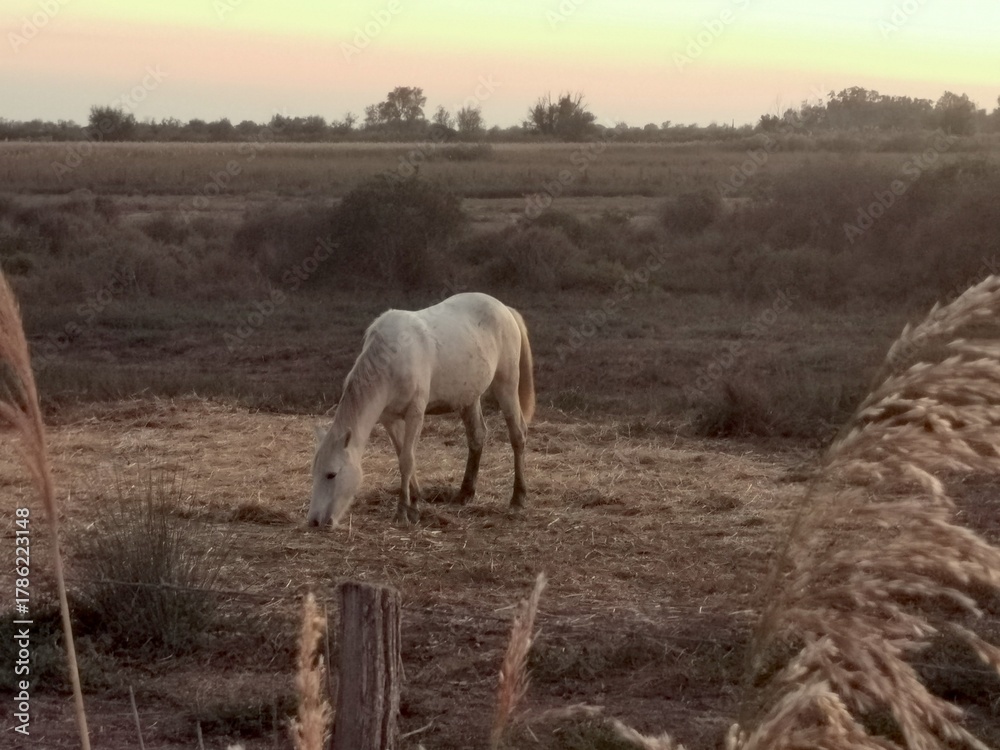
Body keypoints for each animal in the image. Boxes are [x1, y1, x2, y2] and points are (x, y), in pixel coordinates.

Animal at [307, 292, 535, 527]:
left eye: (331, 474)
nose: (314, 521)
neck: (391, 359)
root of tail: (505, 309)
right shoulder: (389, 419)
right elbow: (403, 456)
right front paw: (415, 504)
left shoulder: (415, 413)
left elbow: (407, 460)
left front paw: (402, 512)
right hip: (469, 397)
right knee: (477, 436)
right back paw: (465, 493)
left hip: (506, 384)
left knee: (517, 434)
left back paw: (518, 498)